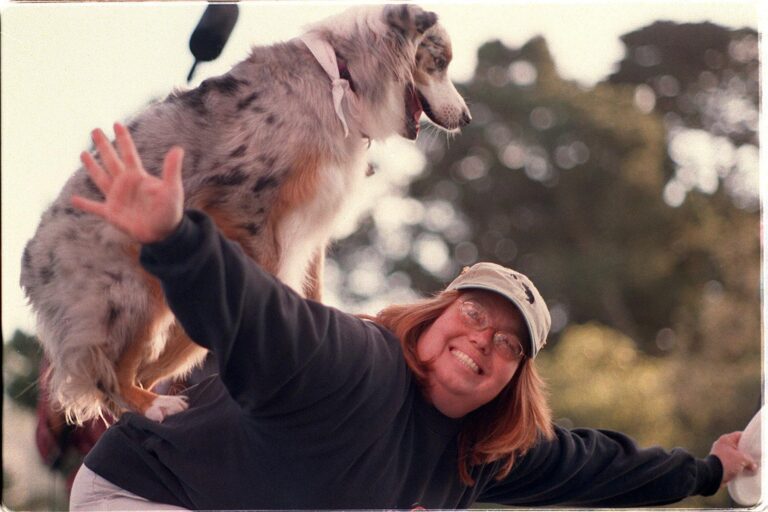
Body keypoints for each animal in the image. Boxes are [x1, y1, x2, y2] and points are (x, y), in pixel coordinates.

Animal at [21, 5, 472, 424]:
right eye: (440, 62)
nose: (466, 118)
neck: (340, 77)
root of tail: (32, 260)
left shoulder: (313, 222)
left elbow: (312, 285)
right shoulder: (245, 197)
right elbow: (272, 270)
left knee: (147, 369)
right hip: (128, 294)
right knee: (111, 374)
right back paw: (151, 405)